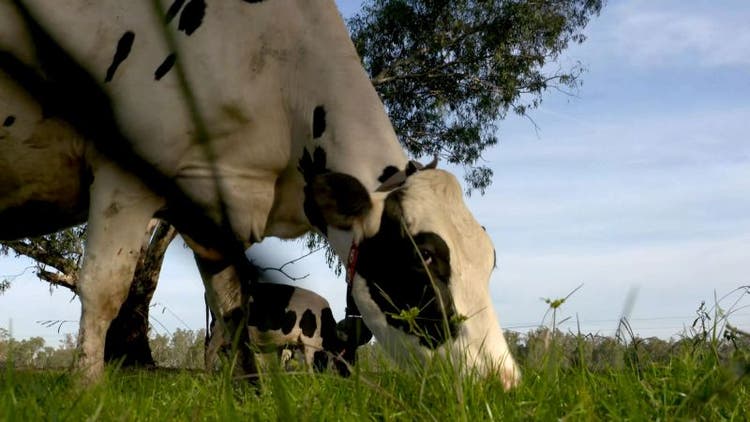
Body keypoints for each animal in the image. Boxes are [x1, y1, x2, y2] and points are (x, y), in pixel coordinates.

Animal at [205, 282, 370, 377]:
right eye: (348, 353)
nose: (349, 376)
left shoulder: (286, 345)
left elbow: (280, 365)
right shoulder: (310, 343)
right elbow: (310, 367)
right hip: (219, 329)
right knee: (210, 352)